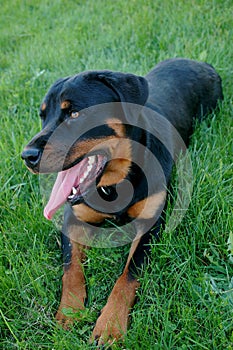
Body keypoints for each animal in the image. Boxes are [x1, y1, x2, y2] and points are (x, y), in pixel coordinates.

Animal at [21, 58, 222, 344]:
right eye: (43, 116)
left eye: (74, 114)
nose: (27, 156)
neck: (115, 183)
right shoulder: (74, 220)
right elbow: (71, 269)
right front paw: (70, 312)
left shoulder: (150, 225)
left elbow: (127, 276)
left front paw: (110, 324)